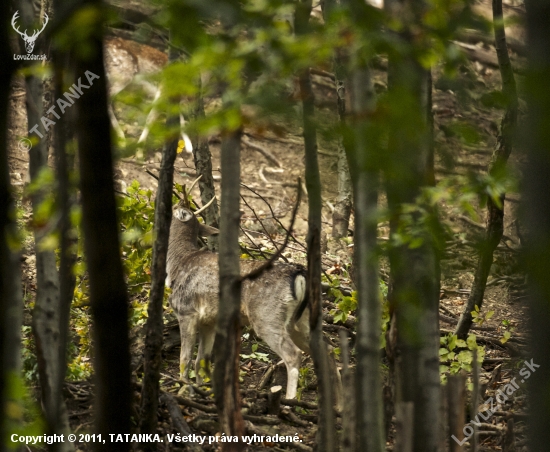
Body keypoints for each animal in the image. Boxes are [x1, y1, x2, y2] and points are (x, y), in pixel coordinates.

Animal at [166, 191, 312, 400]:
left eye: (174, 208)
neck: (177, 263)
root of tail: (298, 274)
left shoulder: (186, 310)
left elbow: (185, 358)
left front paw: (183, 387)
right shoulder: (208, 320)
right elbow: (201, 359)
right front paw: (201, 390)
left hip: (267, 316)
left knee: (293, 354)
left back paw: (289, 400)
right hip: (302, 319)